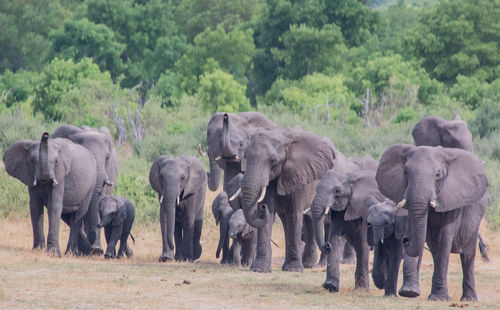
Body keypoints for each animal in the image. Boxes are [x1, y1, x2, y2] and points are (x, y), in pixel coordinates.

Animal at [239, 126, 334, 272]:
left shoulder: (299, 174)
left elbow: (294, 214)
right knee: (286, 221)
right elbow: (269, 215)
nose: (262, 207)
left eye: (273, 161)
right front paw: (259, 269)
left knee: (305, 218)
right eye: (246, 158)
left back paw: (306, 265)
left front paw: (294, 269)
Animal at [376, 145, 488, 300]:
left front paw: (438, 298)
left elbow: (445, 237)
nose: (405, 239)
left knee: (467, 256)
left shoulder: (452, 198)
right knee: (436, 252)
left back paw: (469, 299)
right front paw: (409, 293)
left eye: (438, 175)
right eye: (405, 172)